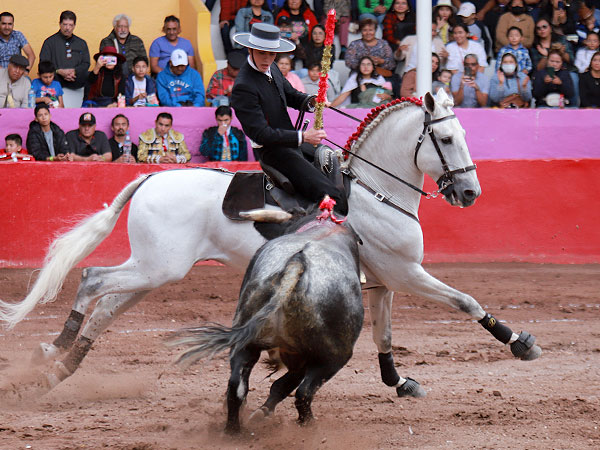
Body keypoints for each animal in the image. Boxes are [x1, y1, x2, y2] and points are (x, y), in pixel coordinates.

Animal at [0, 91, 540, 394]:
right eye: (445, 140)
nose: (469, 193)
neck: (373, 188)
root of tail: (152, 176)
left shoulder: (384, 282)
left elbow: (384, 336)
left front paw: (398, 381)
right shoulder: (406, 273)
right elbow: (465, 300)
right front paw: (518, 342)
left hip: (154, 270)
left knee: (107, 307)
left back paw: (59, 367)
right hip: (157, 268)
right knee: (93, 280)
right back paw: (54, 348)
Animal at [169, 207, 366, 432]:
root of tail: (297, 262)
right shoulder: (303, 357)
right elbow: (285, 386)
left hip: (246, 344)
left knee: (236, 387)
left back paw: (233, 431)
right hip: (333, 357)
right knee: (303, 393)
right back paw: (307, 426)